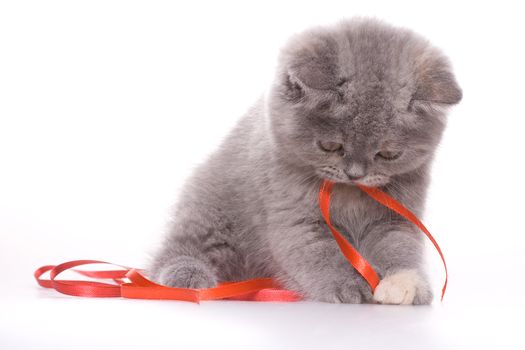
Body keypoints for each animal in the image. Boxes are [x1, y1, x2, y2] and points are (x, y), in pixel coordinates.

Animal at [146, 18, 458, 304]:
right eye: (331, 146)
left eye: (388, 154)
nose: (355, 173)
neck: (349, 194)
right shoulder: (295, 220)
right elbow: (321, 254)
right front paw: (348, 285)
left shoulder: (395, 216)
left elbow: (399, 247)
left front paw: (405, 284)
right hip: (210, 207)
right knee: (179, 248)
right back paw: (186, 275)